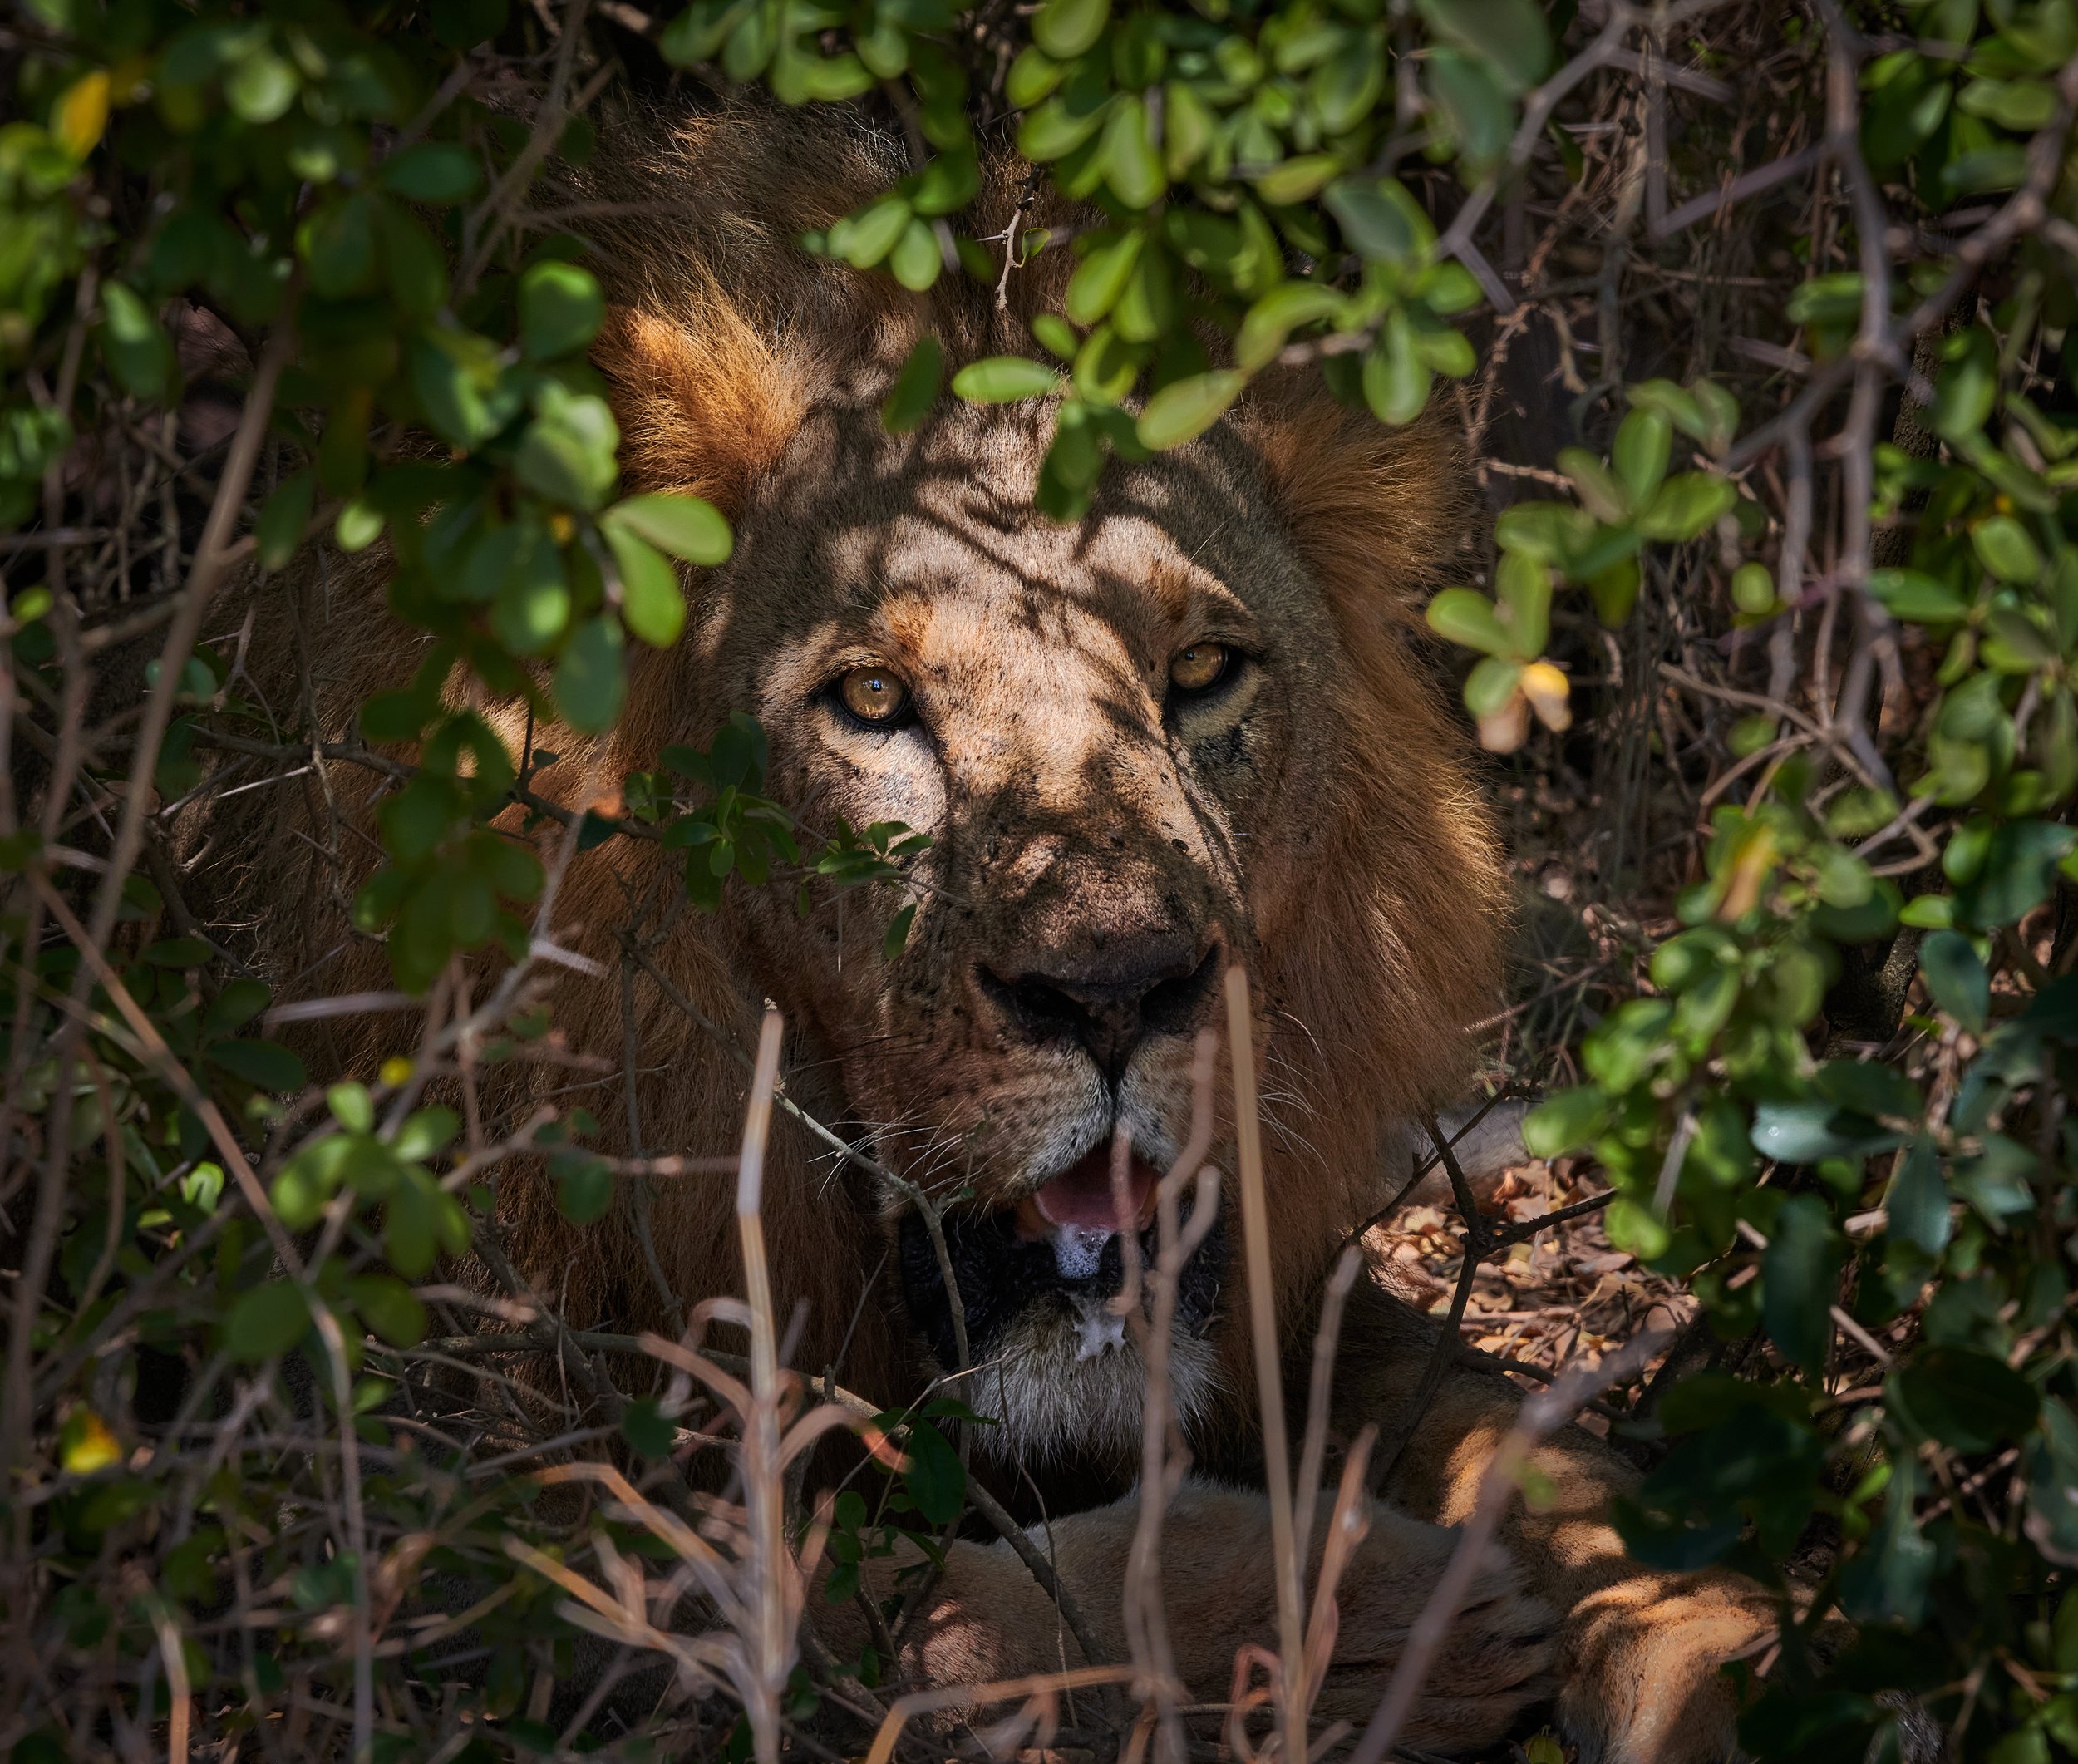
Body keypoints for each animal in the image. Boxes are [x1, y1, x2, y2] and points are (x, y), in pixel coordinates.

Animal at [213, 97, 1780, 1763]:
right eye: (871, 699)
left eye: (1203, 671)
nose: (1119, 992)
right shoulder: (374, 1456)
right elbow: (864, 1590)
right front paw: (1341, 1617)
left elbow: (1492, 1411)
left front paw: (1685, 1612)